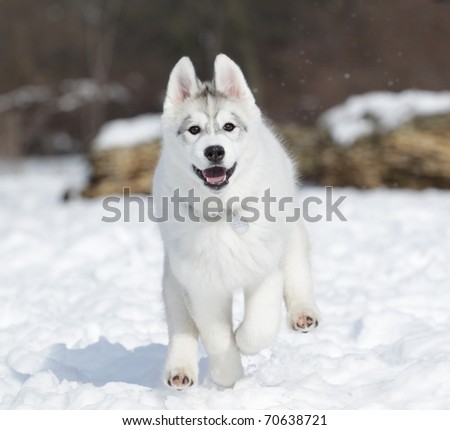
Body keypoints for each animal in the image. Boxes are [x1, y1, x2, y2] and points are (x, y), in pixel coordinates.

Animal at [154, 53, 320, 390]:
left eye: (229, 127)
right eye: (194, 130)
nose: (214, 151)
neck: (223, 214)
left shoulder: (265, 269)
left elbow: (260, 325)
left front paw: (243, 340)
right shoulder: (201, 286)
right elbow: (217, 338)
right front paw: (228, 374)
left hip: (291, 236)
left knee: (297, 271)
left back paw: (303, 314)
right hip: (173, 279)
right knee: (181, 325)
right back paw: (180, 370)